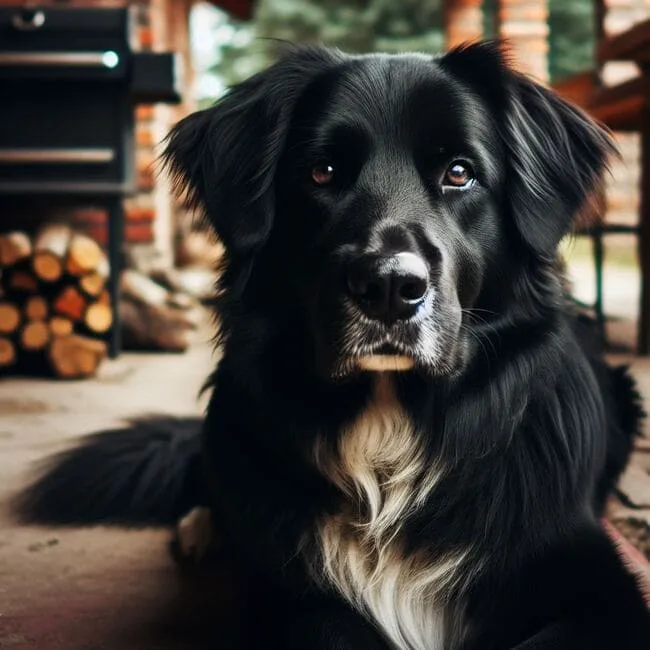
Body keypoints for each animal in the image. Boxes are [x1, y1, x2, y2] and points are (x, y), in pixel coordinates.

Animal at [16, 43, 648, 644]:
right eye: (320, 172)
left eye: (460, 172)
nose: (390, 288)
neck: (388, 427)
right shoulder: (287, 599)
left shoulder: (603, 593)